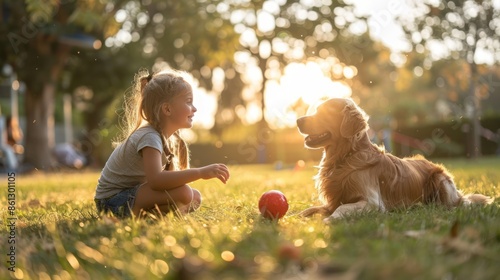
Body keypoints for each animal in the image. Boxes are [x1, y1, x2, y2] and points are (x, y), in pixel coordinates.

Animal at [296, 97, 492, 222]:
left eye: (324, 113)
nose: (298, 120)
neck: (346, 157)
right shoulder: (332, 200)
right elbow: (309, 209)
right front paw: (295, 218)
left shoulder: (373, 202)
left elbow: (341, 208)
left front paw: (329, 220)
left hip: (440, 181)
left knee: (462, 203)